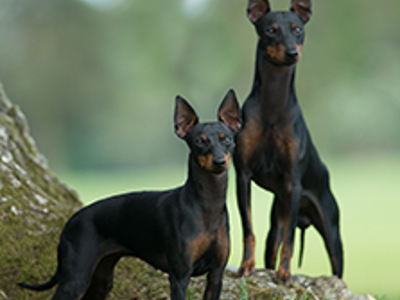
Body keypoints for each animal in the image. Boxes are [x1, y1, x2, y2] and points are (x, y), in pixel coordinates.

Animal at [18, 90, 241, 300]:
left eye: (228, 140)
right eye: (200, 142)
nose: (220, 162)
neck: (207, 204)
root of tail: (69, 223)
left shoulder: (216, 275)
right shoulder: (179, 276)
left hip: (101, 279)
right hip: (76, 278)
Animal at [234, 0, 344, 284]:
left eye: (298, 30)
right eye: (271, 30)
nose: (293, 53)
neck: (273, 105)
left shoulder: (294, 183)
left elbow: (291, 241)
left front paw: (284, 274)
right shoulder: (243, 177)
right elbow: (248, 229)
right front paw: (246, 265)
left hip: (331, 231)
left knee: (336, 269)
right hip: (276, 225)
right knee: (276, 242)